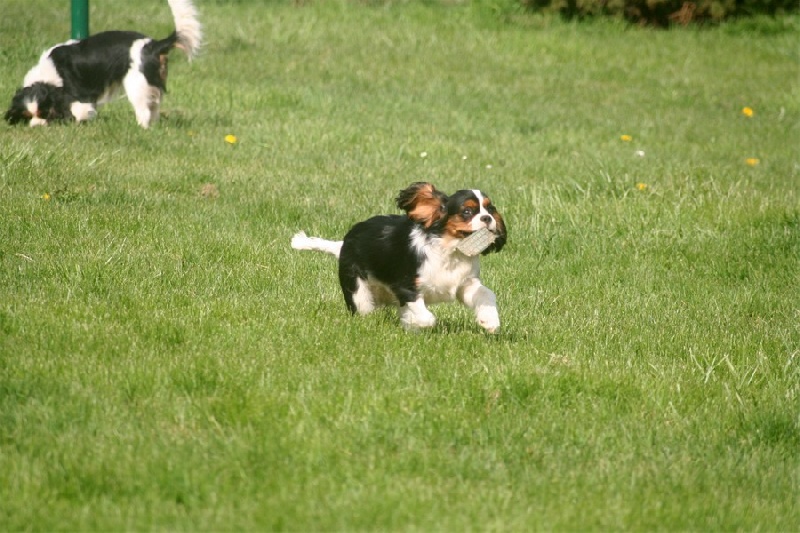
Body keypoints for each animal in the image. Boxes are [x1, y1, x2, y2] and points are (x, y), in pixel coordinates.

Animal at [292, 183, 506, 332]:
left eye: (490, 209)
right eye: (467, 211)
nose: (488, 219)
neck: (451, 252)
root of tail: (344, 244)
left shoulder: (466, 284)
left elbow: (486, 294)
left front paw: (489, 321)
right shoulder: (406, 286)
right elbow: (427, 318)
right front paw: (412, 323)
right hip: (358, 291)